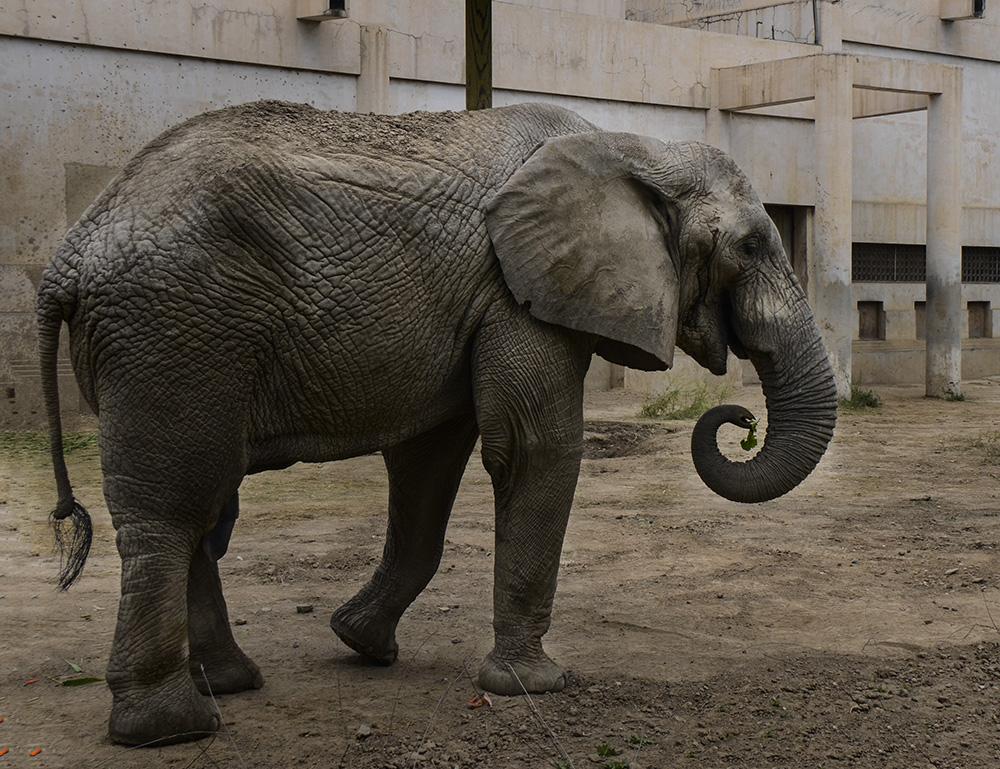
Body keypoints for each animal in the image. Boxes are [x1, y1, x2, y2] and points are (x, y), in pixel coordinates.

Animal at [37, 100, 836, 744]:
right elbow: (535, 450)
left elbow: (427, 462)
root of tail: (69, 254)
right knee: (174, 510)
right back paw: (172, 727)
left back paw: (229, 682)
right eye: (751, 247)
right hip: (174, 333)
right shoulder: (519, 293)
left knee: (204, 508)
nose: (738, 419)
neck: (630, 147)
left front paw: (363, 645)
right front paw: (534, 686)